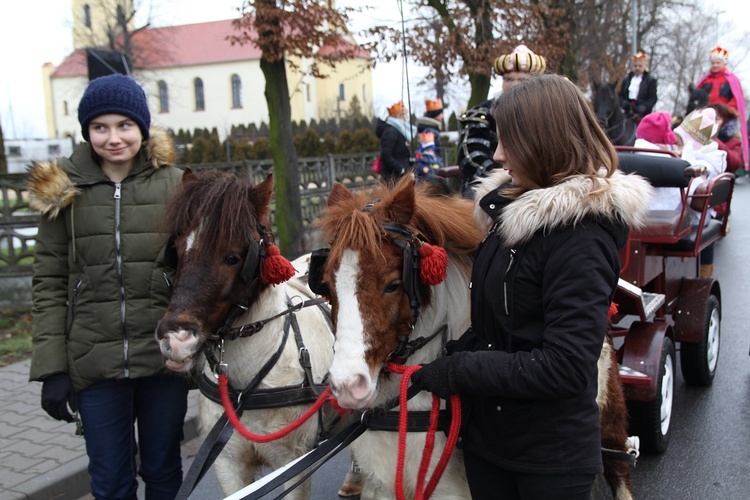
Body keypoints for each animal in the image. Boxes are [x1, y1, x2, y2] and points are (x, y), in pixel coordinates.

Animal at [156, 170, 338, 498]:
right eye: (176, 251)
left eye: (232, 257)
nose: (175, 339)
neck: (245, 388)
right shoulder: (228, 465)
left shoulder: (291, 463)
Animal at [314, 177, 636, 500]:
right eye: (327, 284)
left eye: (393, 284)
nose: (348, 384)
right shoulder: (382, 487)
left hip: (608, 411)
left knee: (618, 464)